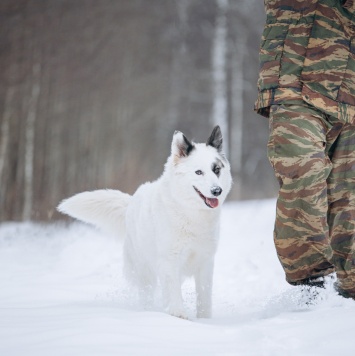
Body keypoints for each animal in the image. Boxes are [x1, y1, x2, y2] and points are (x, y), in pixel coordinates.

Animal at [57, 126, 232, 318]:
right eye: (199, 172)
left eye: (216, 170)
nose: (216, 190)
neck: (190, 213)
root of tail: (131, 202)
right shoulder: (169, 260)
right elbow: (173, 291)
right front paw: (178, 315)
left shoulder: (205, 262)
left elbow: (204, 296)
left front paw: (204, 320)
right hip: (144, 271)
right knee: (147, 293)